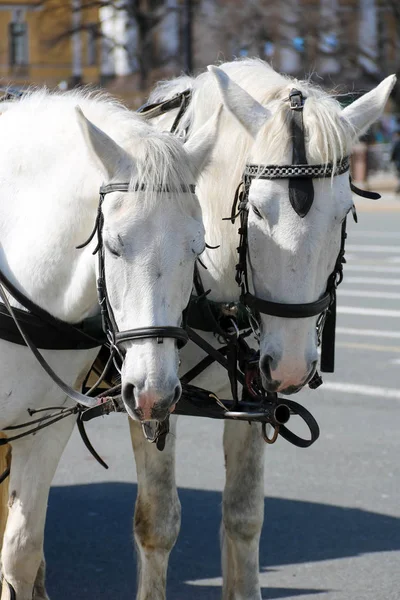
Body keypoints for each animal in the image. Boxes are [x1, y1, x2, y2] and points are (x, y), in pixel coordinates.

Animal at [127, 58, 394, 596]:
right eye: (254, 210)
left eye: (345, 213)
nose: (290, 365)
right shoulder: (147, 397)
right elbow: (158, 522)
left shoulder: (252, 397)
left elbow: (244, 515)